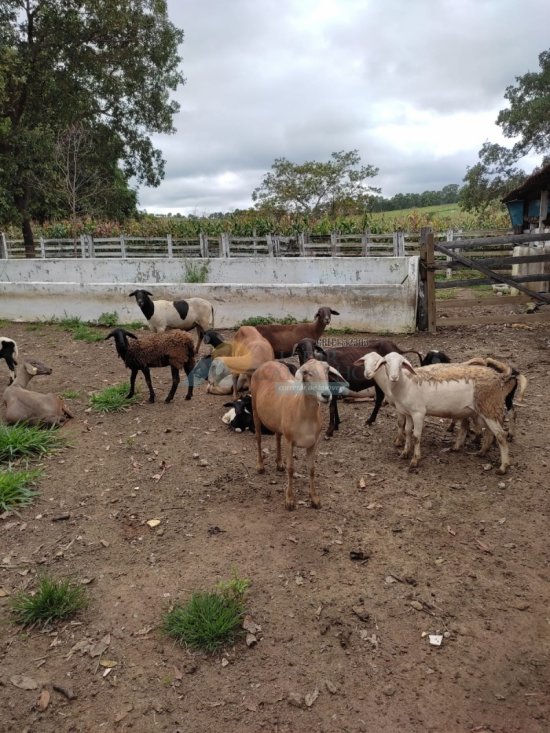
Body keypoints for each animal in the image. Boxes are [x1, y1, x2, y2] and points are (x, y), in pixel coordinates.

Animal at [356, 350, 520, 474]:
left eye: (402, 363)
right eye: (385, 363)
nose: (394, 377)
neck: (406, 384)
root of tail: (499, 376)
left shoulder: (418, 412)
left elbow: (416, 436)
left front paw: (415, 460)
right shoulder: (408, 412)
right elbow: (407, 431)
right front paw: (405, 452)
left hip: (489, 406)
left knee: (501, 435)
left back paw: (503, 466)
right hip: (483, 411)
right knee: (489, 432)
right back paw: (482, 452)